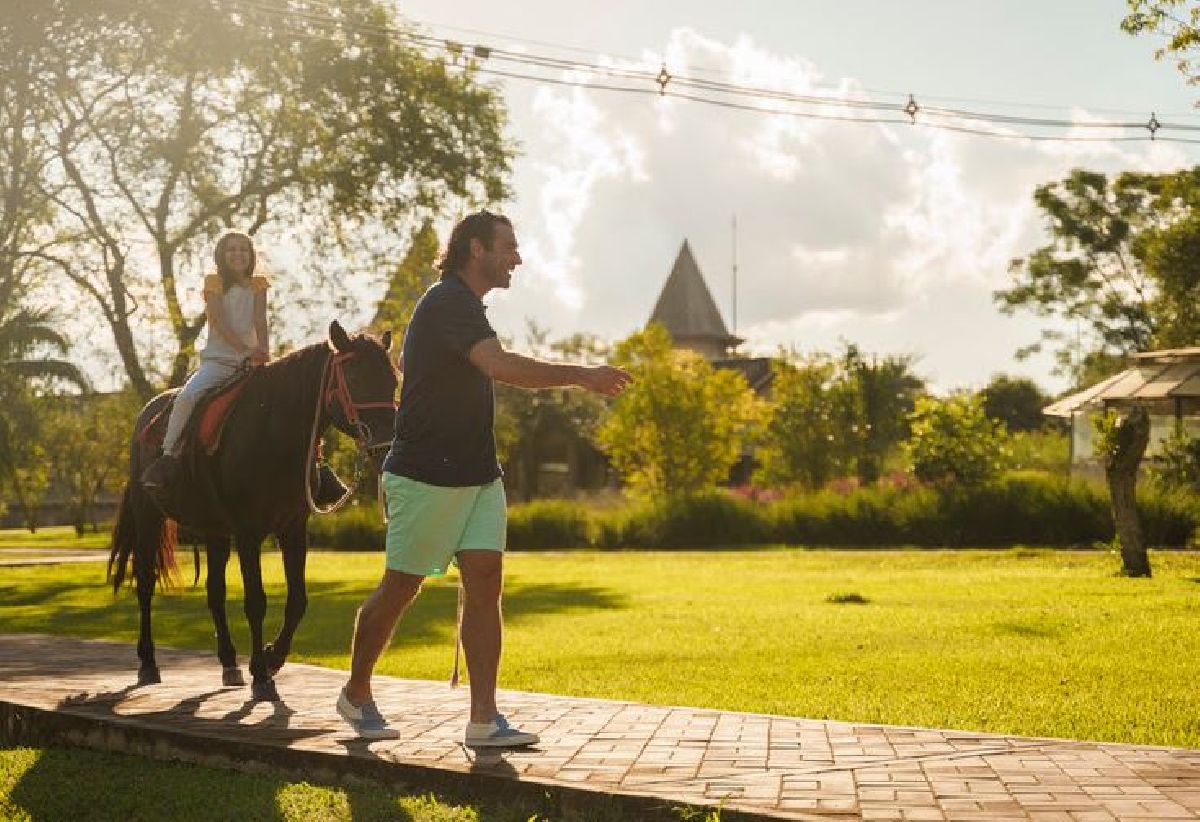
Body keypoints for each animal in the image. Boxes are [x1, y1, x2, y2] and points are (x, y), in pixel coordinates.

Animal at [108, 321, 398, 700]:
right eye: (356, 376)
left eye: (393, 381)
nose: (386, 447)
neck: (272, 430)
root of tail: (146, 415)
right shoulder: (248, 533)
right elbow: (256, 602)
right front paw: (261, 673)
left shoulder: (293, 528)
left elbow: (297, 600)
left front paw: (273, 658)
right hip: (148, 517)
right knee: (145, 582)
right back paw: (148, 662)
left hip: (214, 530)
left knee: (215, 592)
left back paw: (229, 662)